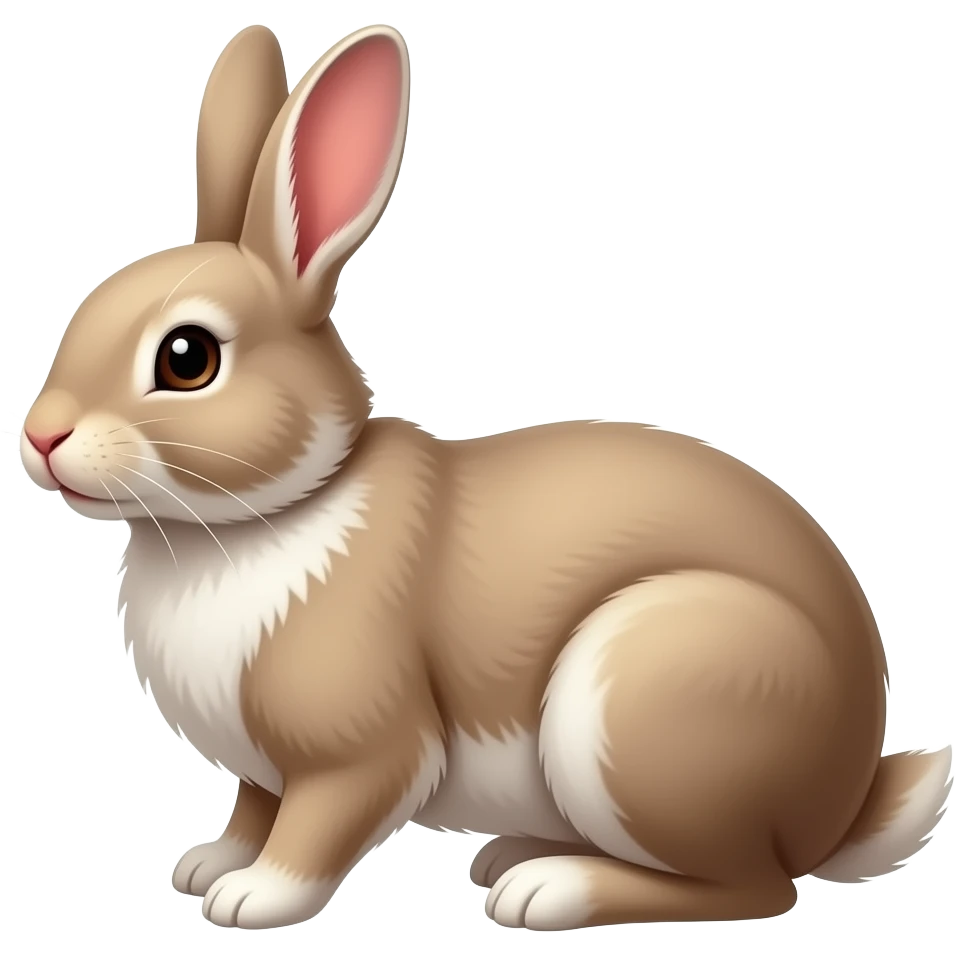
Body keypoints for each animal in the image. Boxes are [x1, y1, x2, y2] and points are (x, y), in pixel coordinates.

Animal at [17, 22, 953, 932]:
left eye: (188, 358)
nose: (41, 436)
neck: (268, 514)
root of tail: (844, 800)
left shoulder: (363, 750)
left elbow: (317, 827)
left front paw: (253, 900)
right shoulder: (262, 768)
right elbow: (253, 808)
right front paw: (206, 866)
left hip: (644, 701)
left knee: (753, 888)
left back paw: (546, 892)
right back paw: (513, 856)